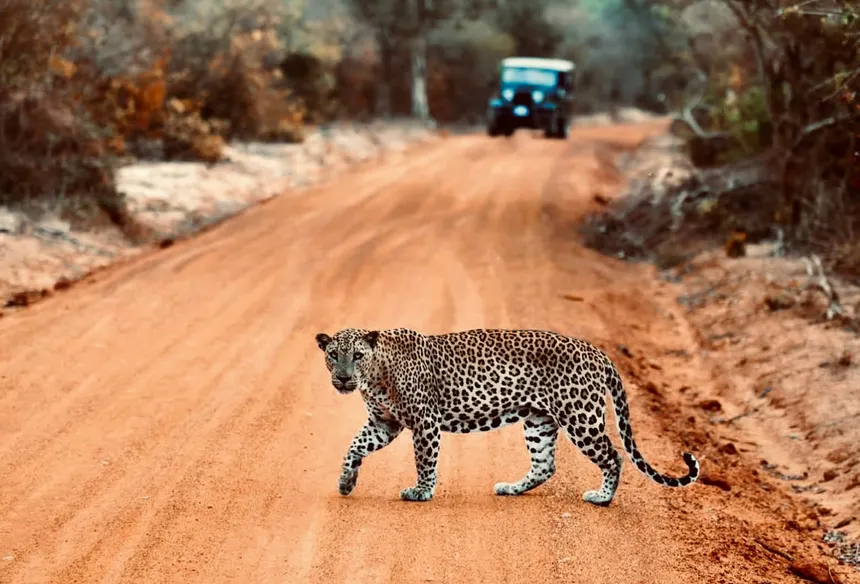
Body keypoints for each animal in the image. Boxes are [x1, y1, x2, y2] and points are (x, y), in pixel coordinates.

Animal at [314, 327, 700, 505]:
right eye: (333, 354)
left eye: (357, 355)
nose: (344, 378)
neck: (376, 376)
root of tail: (597, 351)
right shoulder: (384, 423)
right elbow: (354, 447)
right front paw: (346, 482)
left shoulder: (424, 422)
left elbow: (424, 461)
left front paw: (421, 492)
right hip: (538, 420)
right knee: (545, 465)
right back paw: (511, 488)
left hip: (580, 417)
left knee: (614, 455)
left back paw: (602, 498)